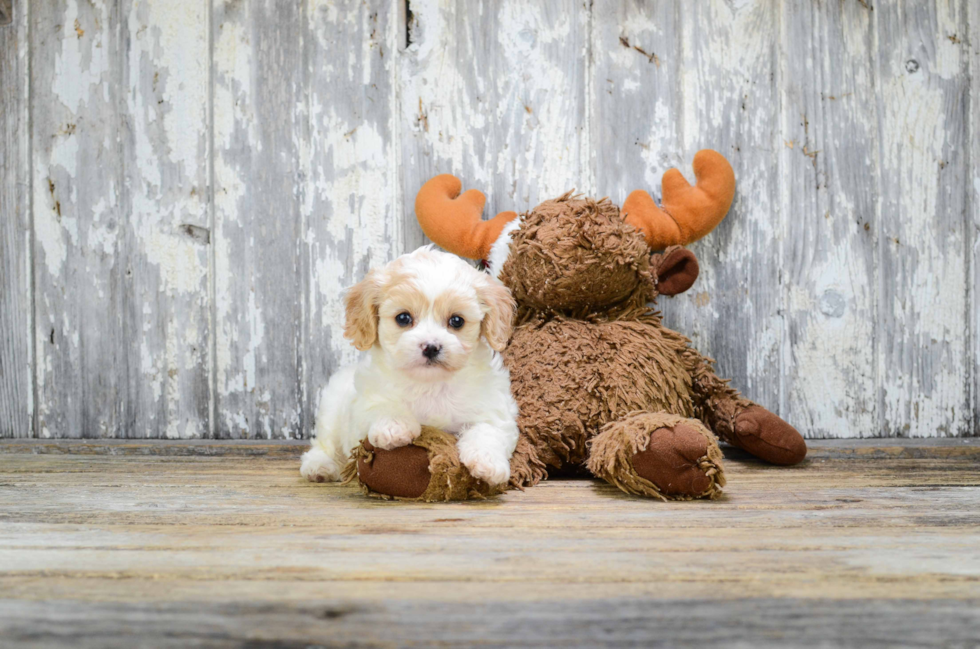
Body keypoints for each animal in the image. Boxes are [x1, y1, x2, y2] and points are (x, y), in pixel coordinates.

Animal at [300, 247, 520, 486]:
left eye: (457, 321)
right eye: (403, 318)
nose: (431, 347)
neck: (430, 384)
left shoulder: (495, 408)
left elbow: (489, 430)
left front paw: (488, 462)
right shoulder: (363, 404)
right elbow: (379, 407)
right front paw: (393, 426)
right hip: (331, 409)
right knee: (325, 444)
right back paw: (319, 466)